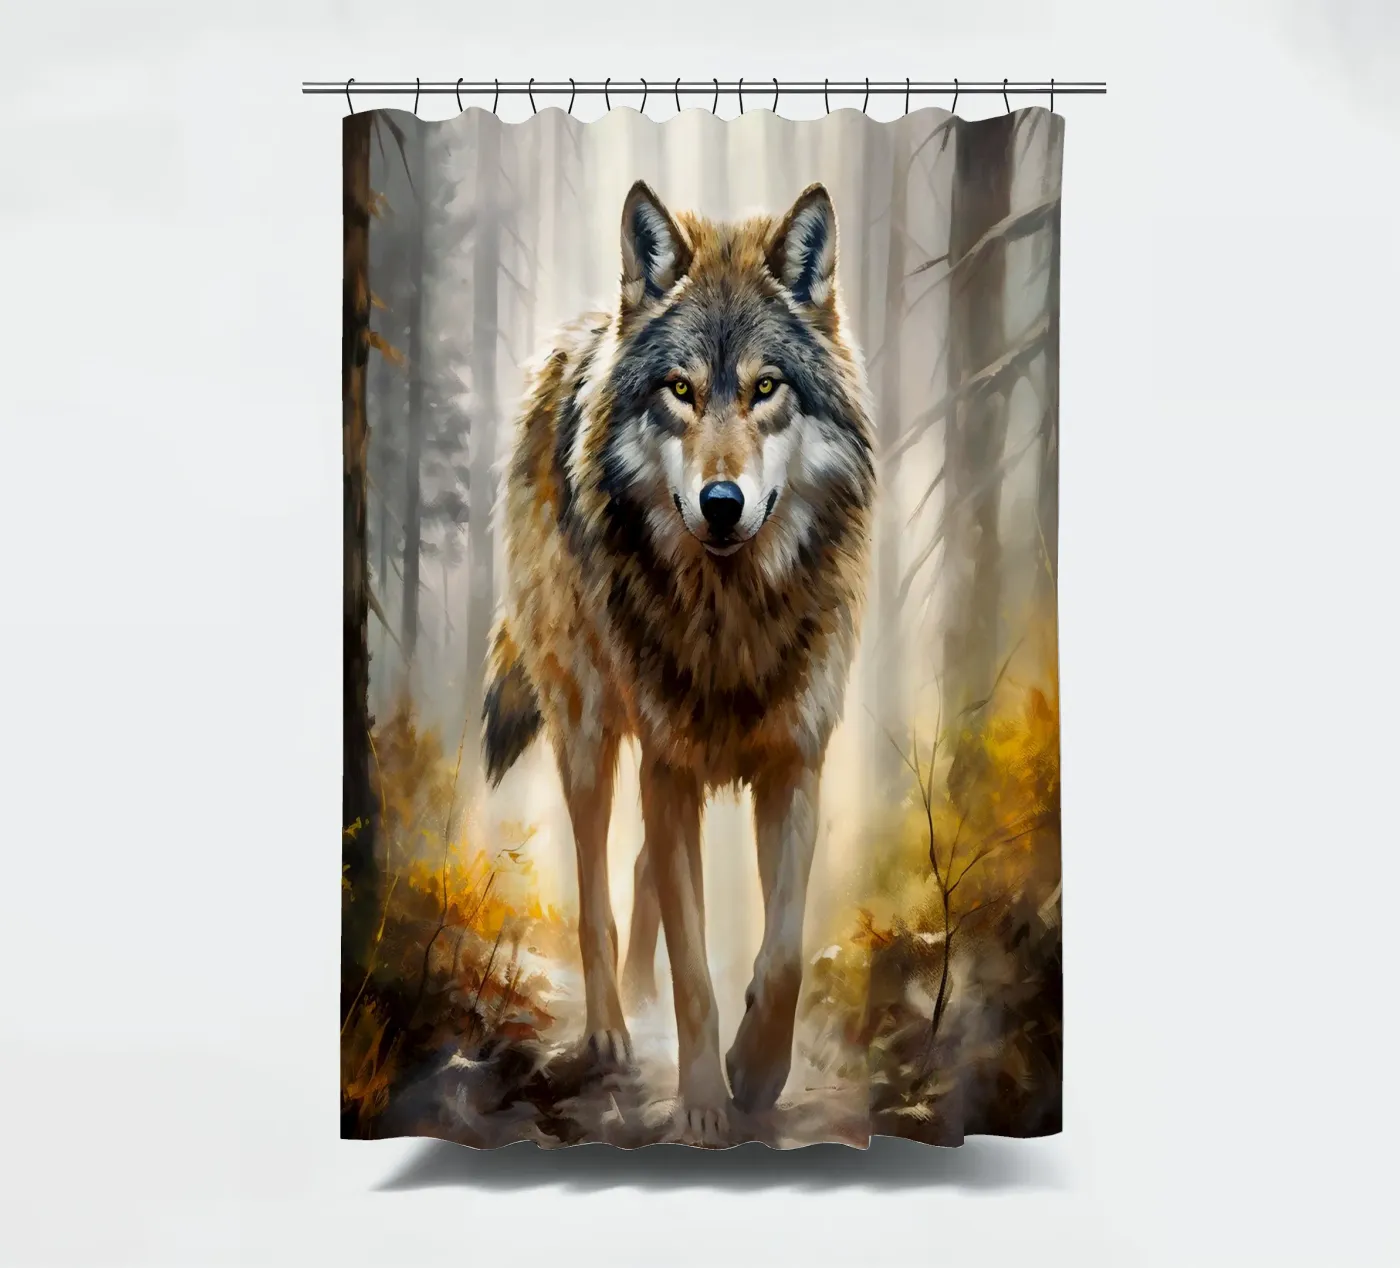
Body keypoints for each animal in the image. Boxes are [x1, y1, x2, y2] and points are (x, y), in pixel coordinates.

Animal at [482, 179, 875, 1142]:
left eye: (766, 388)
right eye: (681, 391)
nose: (722, 502)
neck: (730, 617)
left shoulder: (793, 765)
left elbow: (783, 957)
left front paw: (755, 1072)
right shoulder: (666, 764)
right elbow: (697, 970)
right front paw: (702, 1104)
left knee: (640, 874)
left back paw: (640, 1000)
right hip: (590, 733)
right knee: (597, 889)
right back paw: (613, 1030)